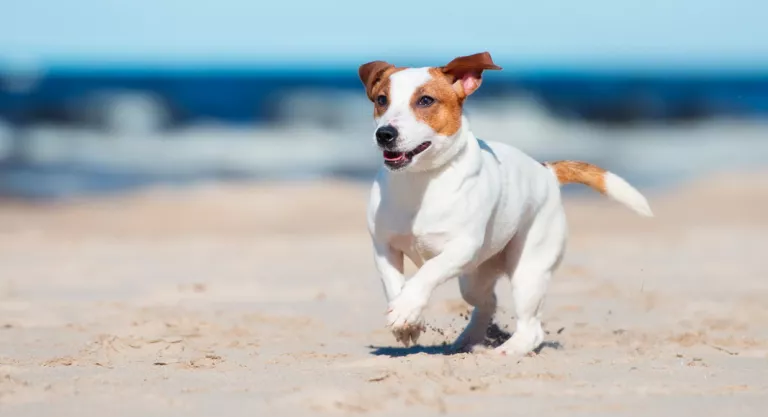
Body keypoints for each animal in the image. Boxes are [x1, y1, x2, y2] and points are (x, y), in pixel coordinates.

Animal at [356, 52, 652, 356]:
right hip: (473, 279)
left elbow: (428, 271)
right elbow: (394, 283)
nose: (385, 134)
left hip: (528, 271)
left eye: (425, 100)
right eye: (382, 100)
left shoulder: (461, 247)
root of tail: (546, 171)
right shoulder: (384, 247)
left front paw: (406, 308)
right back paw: (467, 340)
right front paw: (407, 320)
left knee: (532, 328)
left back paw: (506, 351)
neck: (420, 181)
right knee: (488, 303)